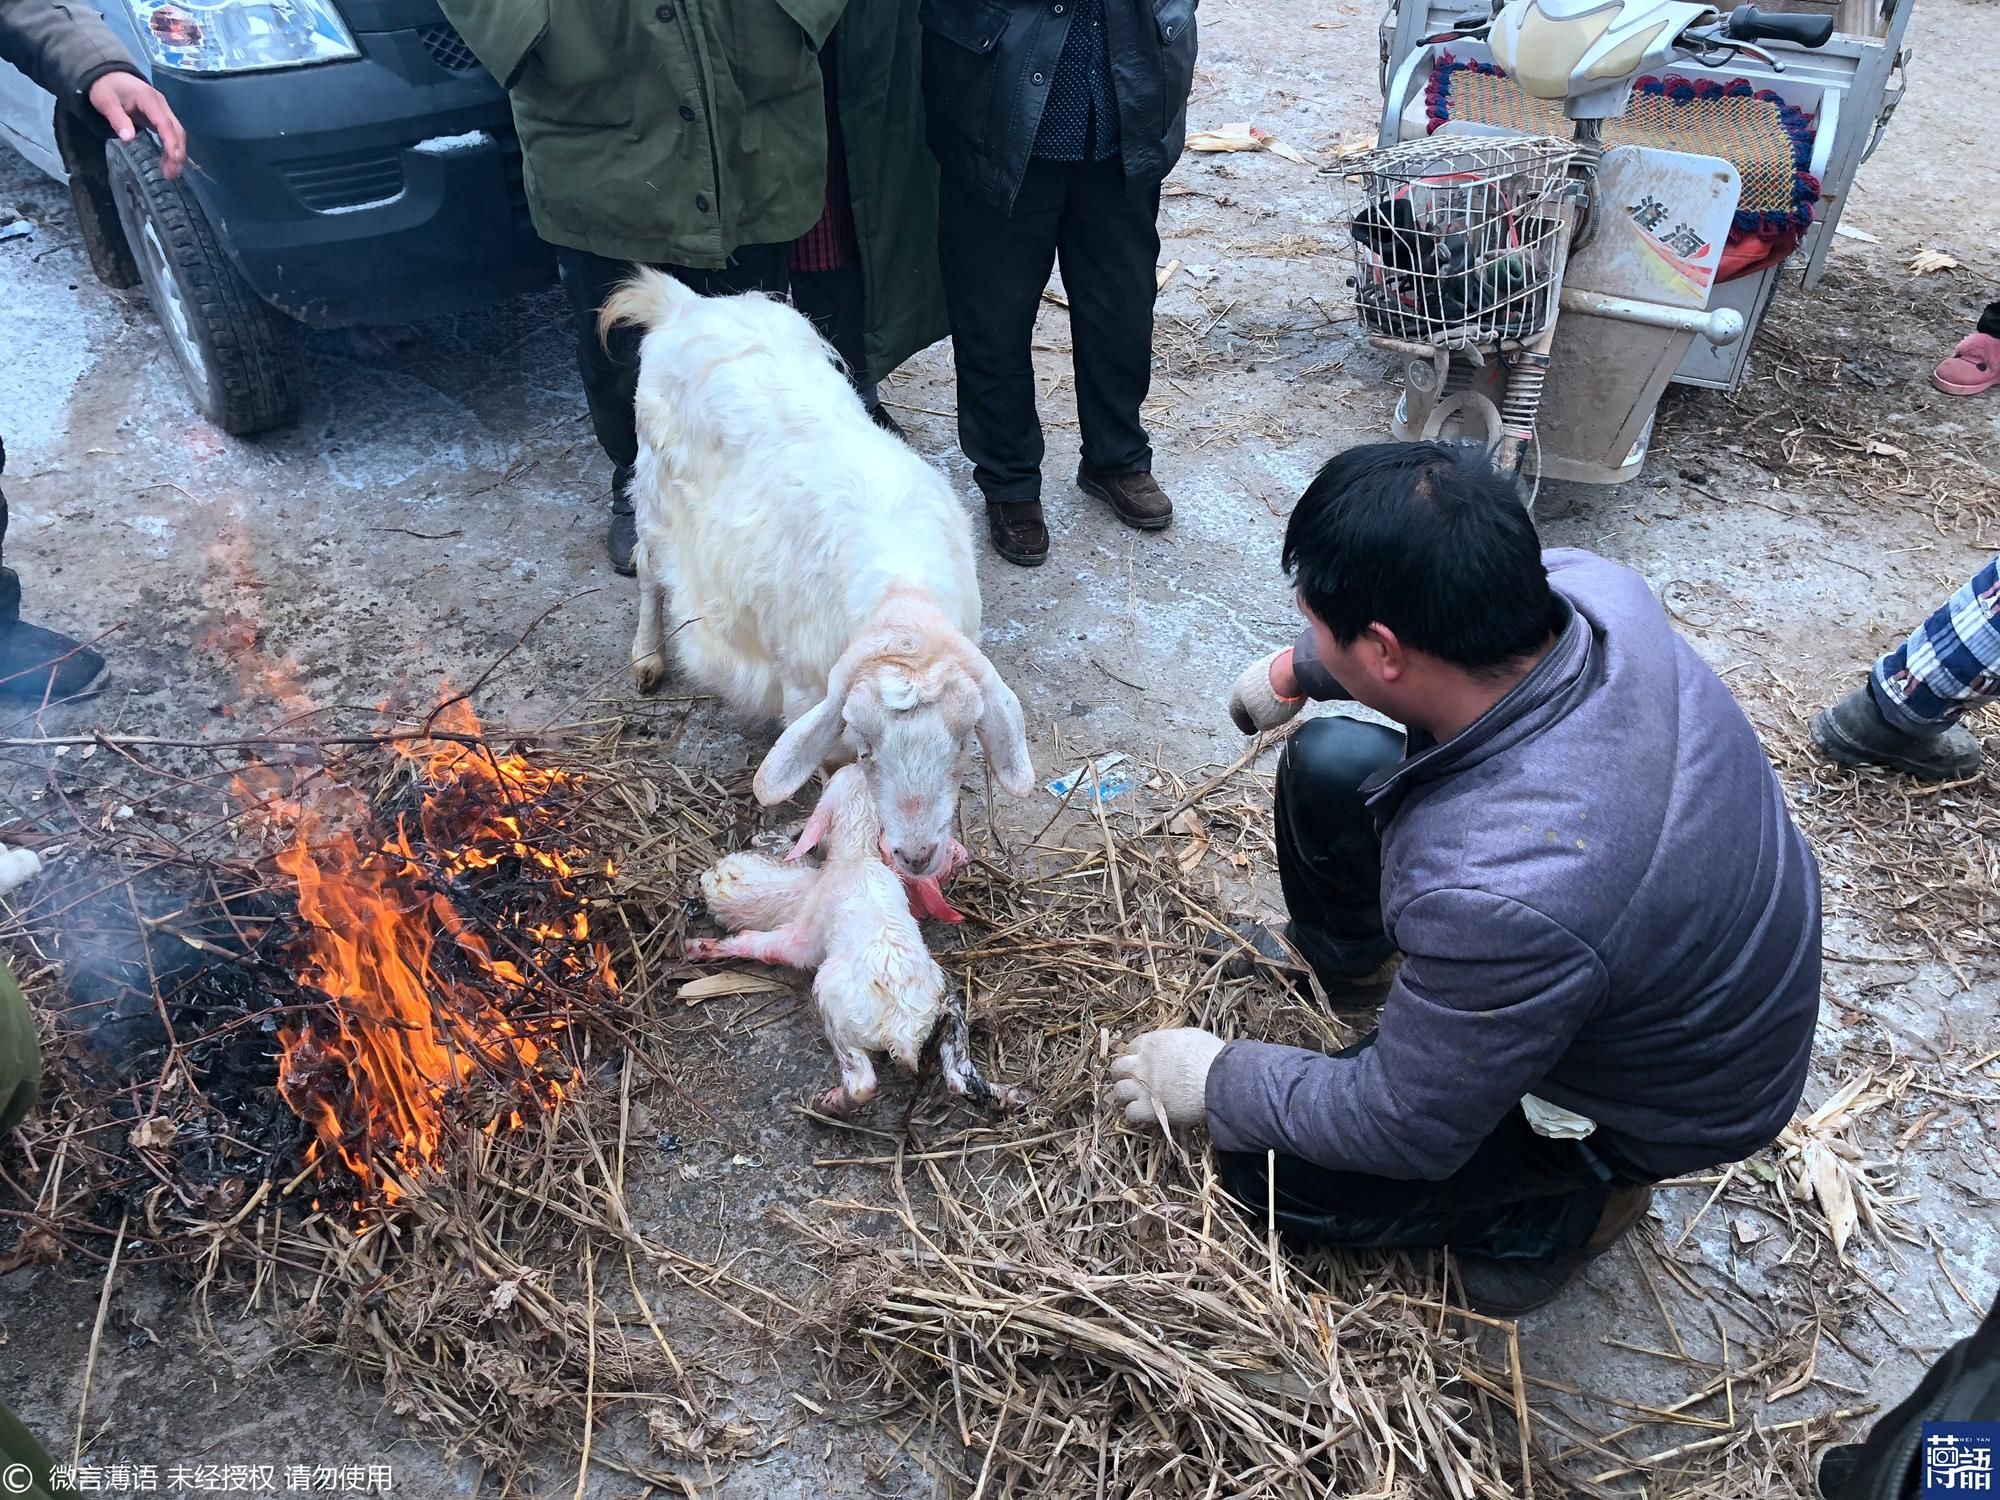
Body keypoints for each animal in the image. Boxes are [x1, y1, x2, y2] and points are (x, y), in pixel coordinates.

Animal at [596, 278, 1040, 880]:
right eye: (868, 746)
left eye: (965, 742)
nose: (916, 855)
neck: (900, 594)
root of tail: (686, 303)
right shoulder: (805, 691)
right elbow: (828, 762)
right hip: (652, 492)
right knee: (648, 572)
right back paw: (647, 659)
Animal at [692, 768, 1032, 1112]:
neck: (858, 854)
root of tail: (903, 1032)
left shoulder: (808, 929)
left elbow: (777, 947)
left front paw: (703, 948)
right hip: (949, 1007)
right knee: (958, 1077)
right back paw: (1009, 1094)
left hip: (834, 1008)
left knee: (862, 1083)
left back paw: (827, 1103)